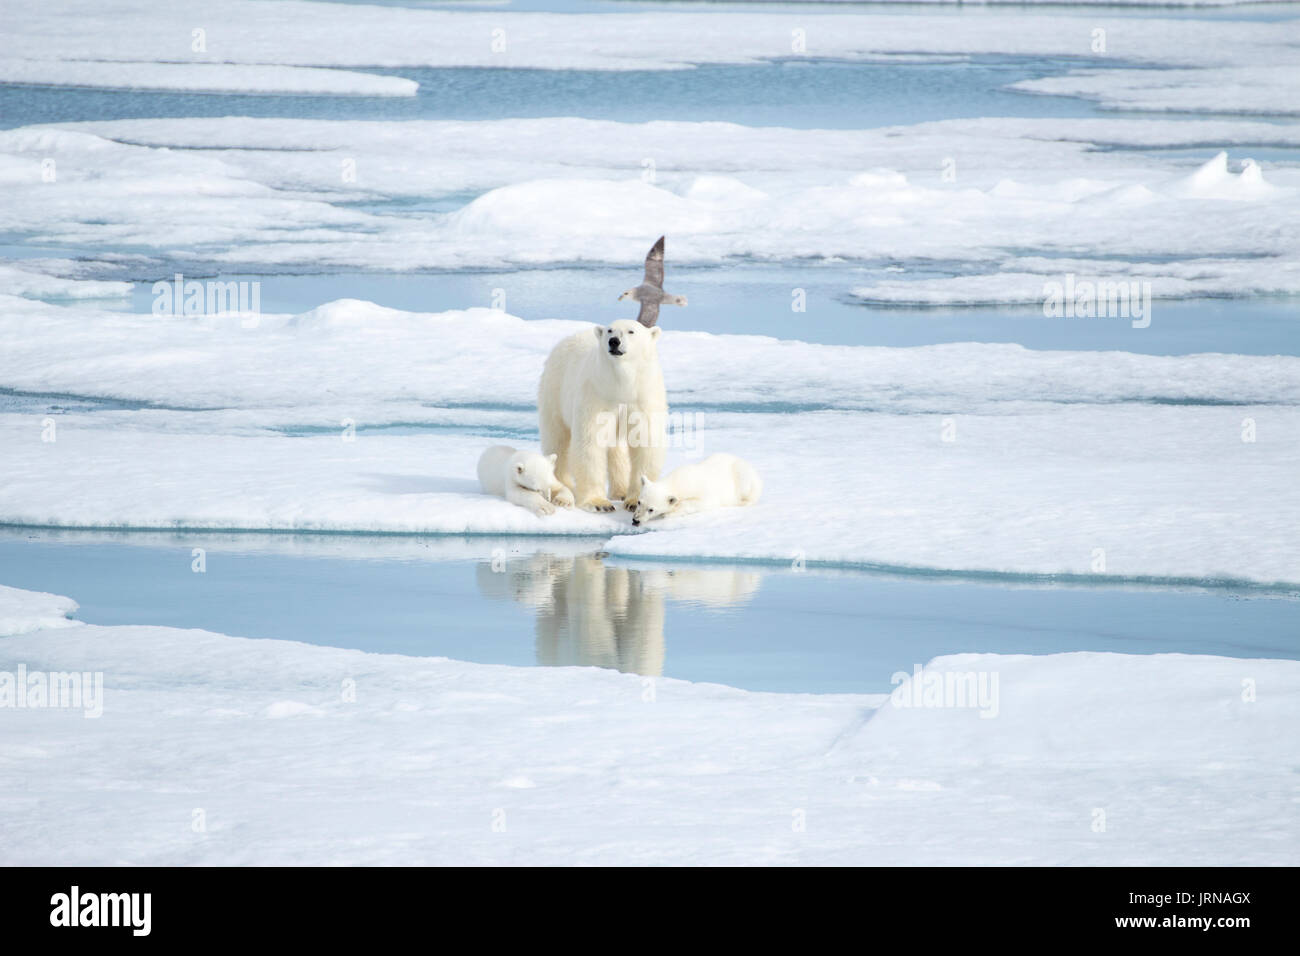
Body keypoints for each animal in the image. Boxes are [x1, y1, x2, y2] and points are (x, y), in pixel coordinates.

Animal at [538, 318, 667, 513]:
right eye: (609, 330)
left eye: (631, 331)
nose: (614, 341)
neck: (620, 386)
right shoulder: (595, 395)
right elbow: (589, 442)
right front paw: (598, 503)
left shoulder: (642, 398)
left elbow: (644, 442)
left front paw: (634, 501)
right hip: (554, 392)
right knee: (557, 441)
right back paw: (562, 493)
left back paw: (620, 491)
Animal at [631, 453, 762, 526]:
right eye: (639, 502)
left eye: (651, 509)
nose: (636, 520)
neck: (679, 480)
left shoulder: (705, 493)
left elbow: (699, 503)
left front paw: (670, 512)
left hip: (742, 475)